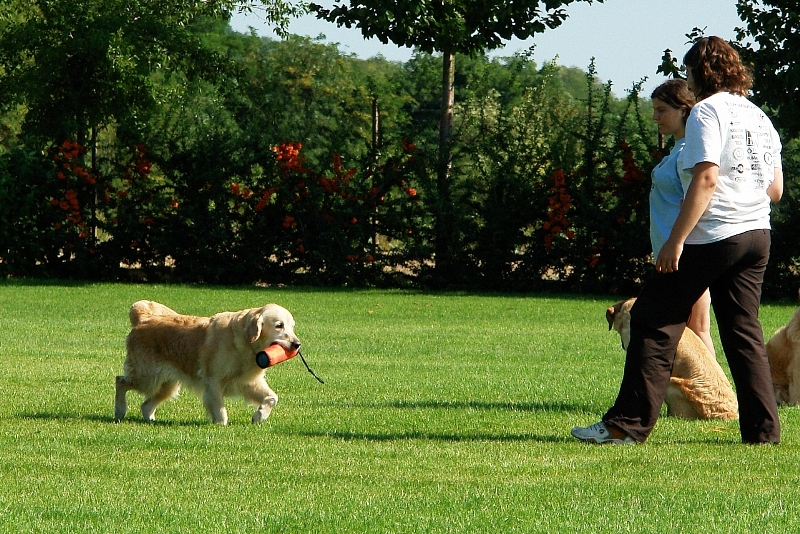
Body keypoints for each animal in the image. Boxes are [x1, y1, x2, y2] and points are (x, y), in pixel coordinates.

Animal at [115, 300, 301, 425]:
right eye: (279, 325)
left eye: (292, 326)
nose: (297, 344)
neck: (242, 341)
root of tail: (143, 320)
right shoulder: (214, 382)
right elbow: (219, 409)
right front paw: (220, 425)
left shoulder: (248, 382)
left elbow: (272, 398)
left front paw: (259, 416)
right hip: (147, 377)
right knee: (120, 381)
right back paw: (120, 411)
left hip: (168, 384)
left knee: (146, 405)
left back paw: (151, 420)